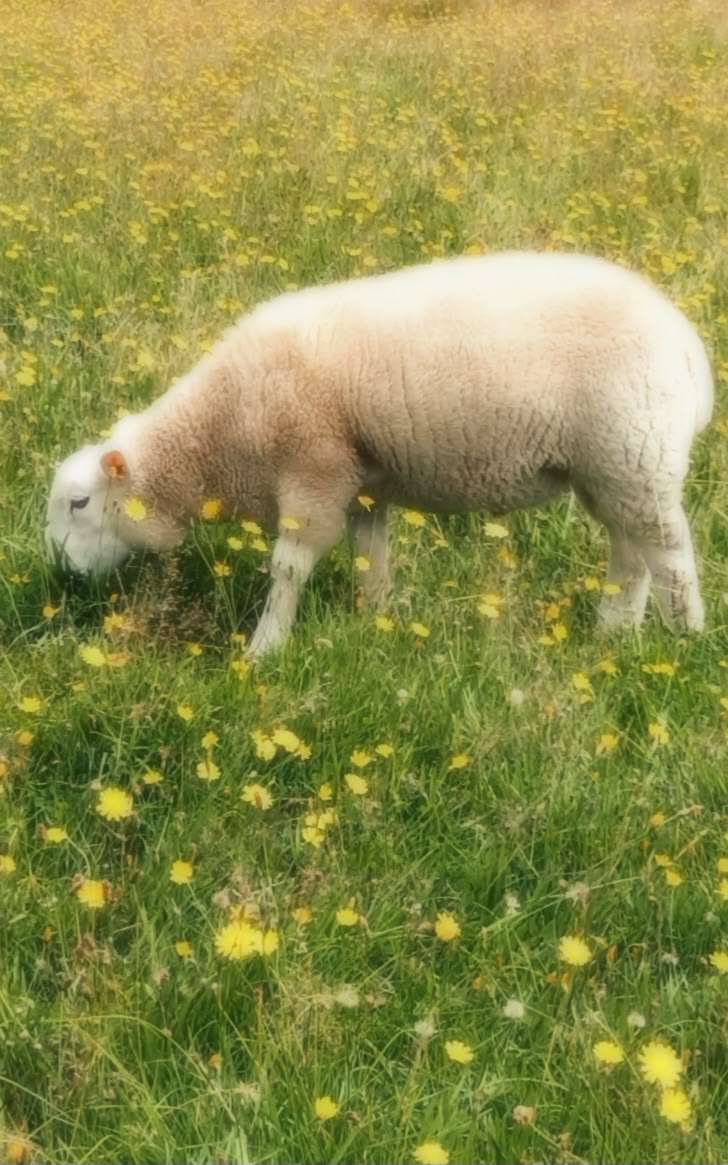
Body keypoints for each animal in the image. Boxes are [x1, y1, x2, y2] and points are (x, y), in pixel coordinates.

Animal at [46, 250, 713, 656]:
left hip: (635, 453)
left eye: (80, 503)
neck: (220, 429)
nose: (62, 577)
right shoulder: (363, 485)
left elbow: (288, 568)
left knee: (671, 557)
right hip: (613, 468)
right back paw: (613, 634)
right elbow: (372, 557)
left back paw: (685, 640)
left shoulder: (314, 470)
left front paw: (265, 649)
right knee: (631, 555)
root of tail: (687, 345)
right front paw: (376, 622)